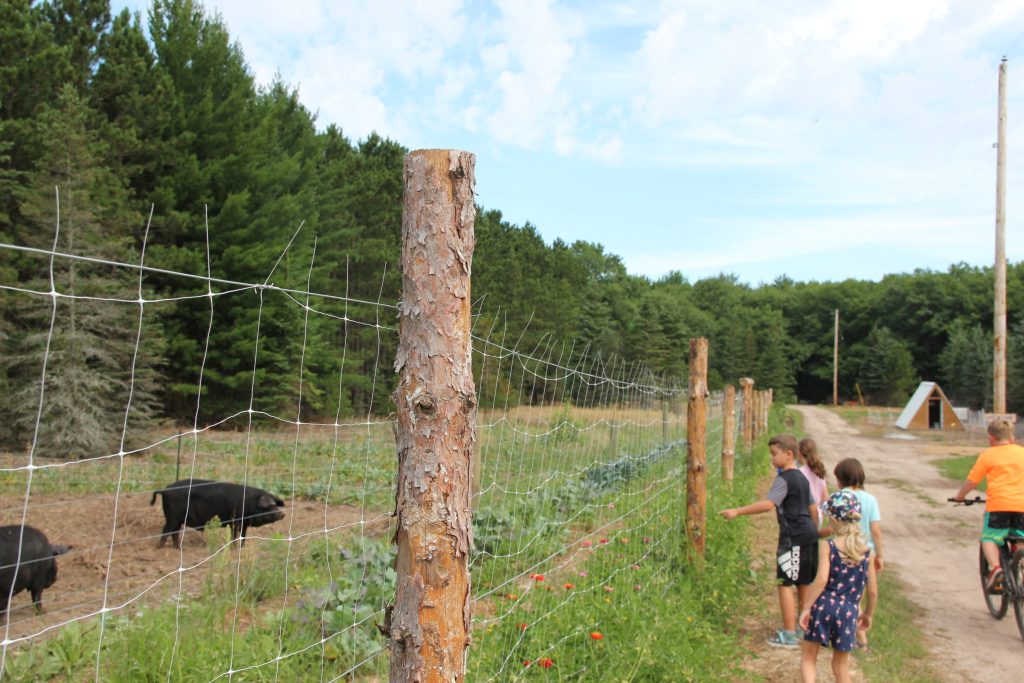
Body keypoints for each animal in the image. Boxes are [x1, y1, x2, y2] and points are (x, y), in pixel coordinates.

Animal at [149, 481, 284, 548]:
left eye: (275, 504)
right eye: (268, 506)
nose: (282, 514)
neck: (250, 503)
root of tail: (164, 490)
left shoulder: (243, 523)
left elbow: (243, 536)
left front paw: (242, 547)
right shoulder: (236, 521)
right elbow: (235, 535)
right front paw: (234, 548)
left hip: (177, 519)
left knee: (174, 532)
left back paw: (179, 548)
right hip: (172, 516)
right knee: (166, 530)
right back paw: (159, 547)